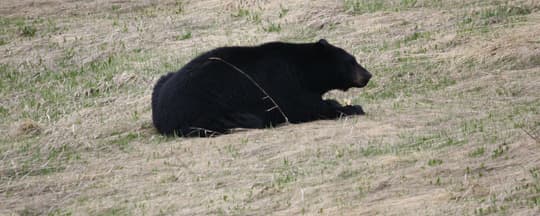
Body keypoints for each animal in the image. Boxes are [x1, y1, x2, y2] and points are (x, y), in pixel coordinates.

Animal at [152, 39, 372, 137]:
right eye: (352, 61)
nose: (368, 75)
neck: (302, 69)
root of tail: (160, 117)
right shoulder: (281, 81)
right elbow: (301, 106)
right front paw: (351, 108)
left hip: (162, 80)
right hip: (204, 107)